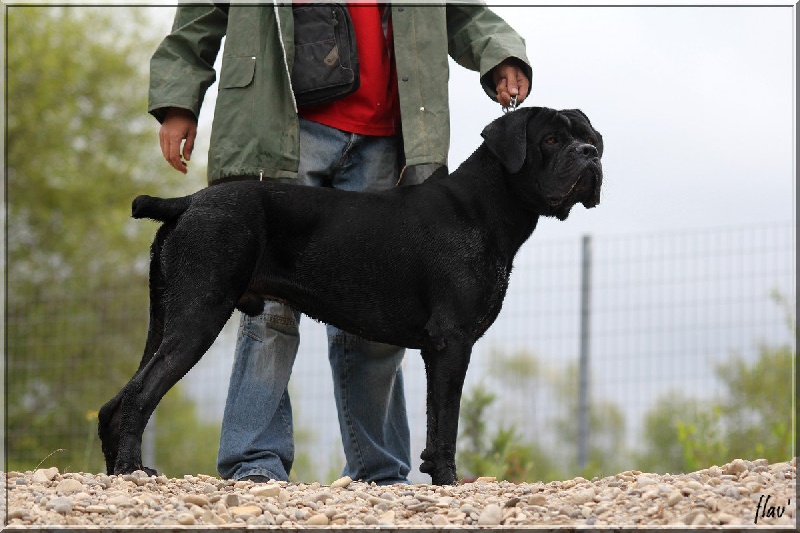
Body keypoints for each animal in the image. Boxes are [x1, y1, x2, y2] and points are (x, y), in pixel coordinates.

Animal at [98, 106, 600, 484]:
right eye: (551, 140)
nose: (590, 153)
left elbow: (436, 423)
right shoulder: (451, 343)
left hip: (166, 318)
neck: (483, 208)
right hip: (198, 315)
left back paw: (117, 471)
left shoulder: (441, 349)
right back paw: (132, 470)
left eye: (590, 136)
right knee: (140, 394)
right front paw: (448, 482)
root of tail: (186, 202)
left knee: (112, 404)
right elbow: (446, 425)